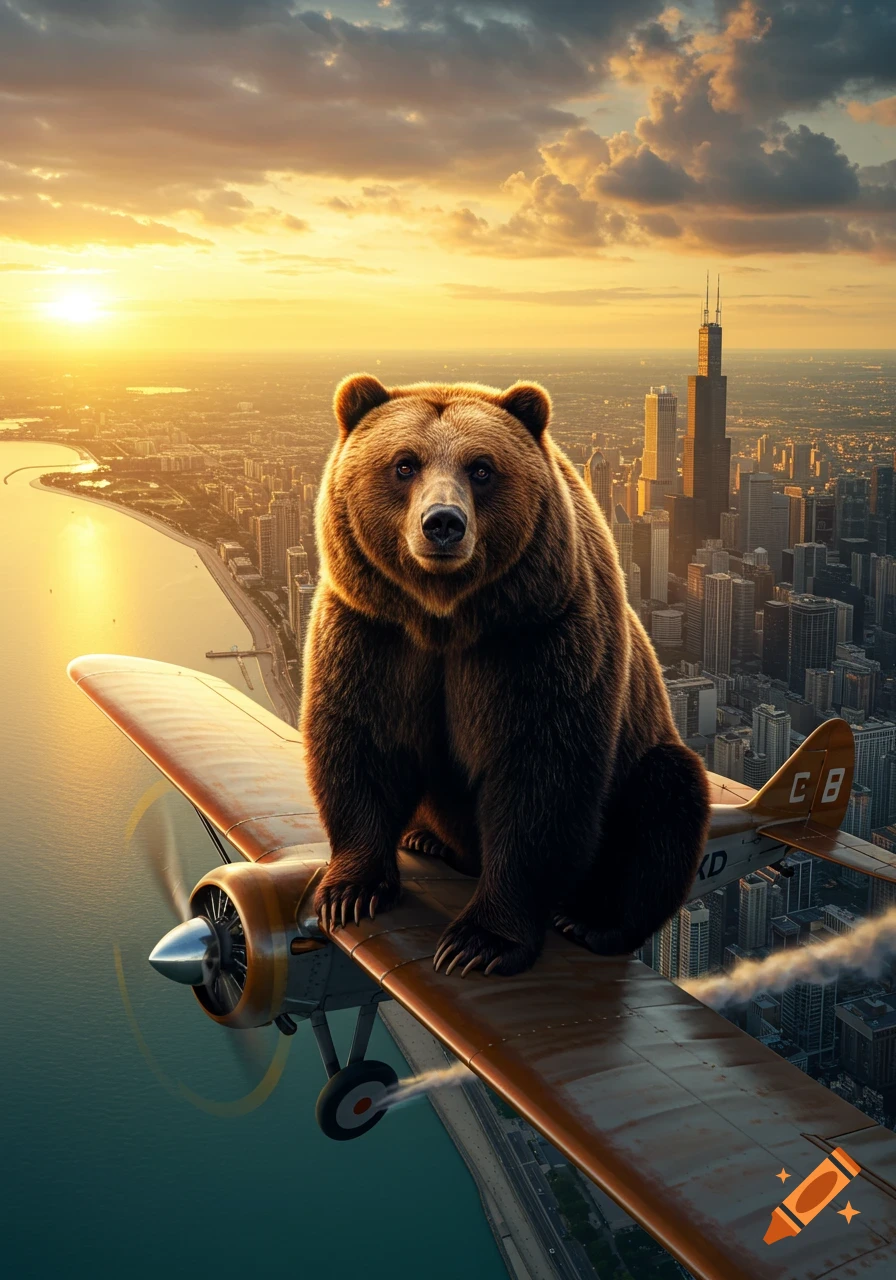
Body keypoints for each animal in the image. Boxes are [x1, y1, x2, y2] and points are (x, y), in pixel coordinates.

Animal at [301, 373, 710, 977]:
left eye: (481, 468)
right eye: (404, 464)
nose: (443, 523)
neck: (445, 618)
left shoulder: (540, 637)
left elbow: (539, 778)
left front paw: (479, 941)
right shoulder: (373, 629)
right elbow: (362, 742)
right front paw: (351, 891)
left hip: (641, 759)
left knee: (666, 801)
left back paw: (593, 921)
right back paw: (428, 841)